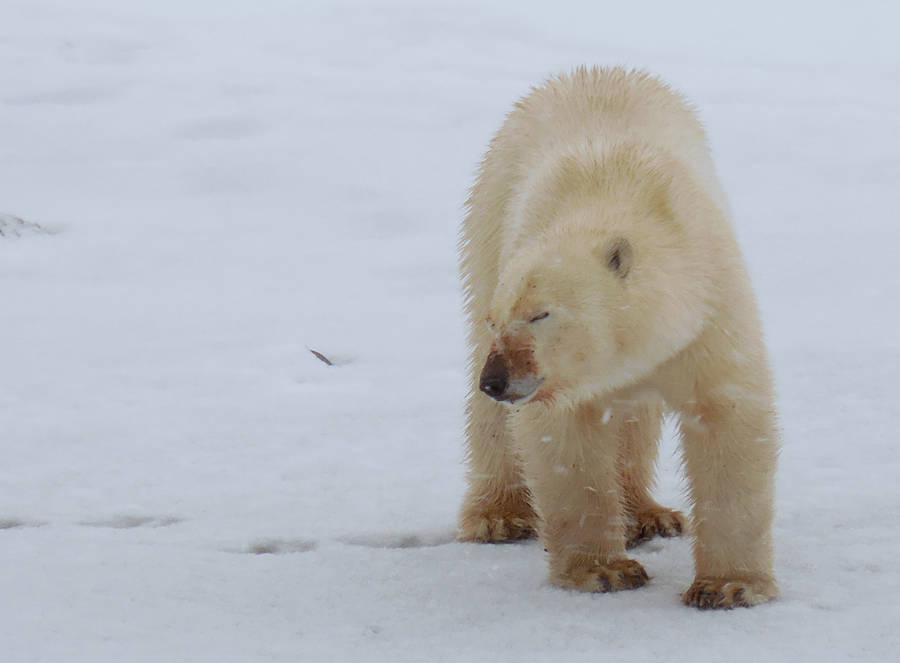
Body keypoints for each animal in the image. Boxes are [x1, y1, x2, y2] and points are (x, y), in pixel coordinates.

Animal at [457, 66, 778, 609]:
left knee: (636, 418)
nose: (496, 381)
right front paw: (604, 571)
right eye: (497, 320)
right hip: (488, 215)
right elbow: (566, 442)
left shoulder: (707, 308)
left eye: (541, 314)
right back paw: (499, 515)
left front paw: (729, 586)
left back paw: (649, 514)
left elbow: (726, 417)